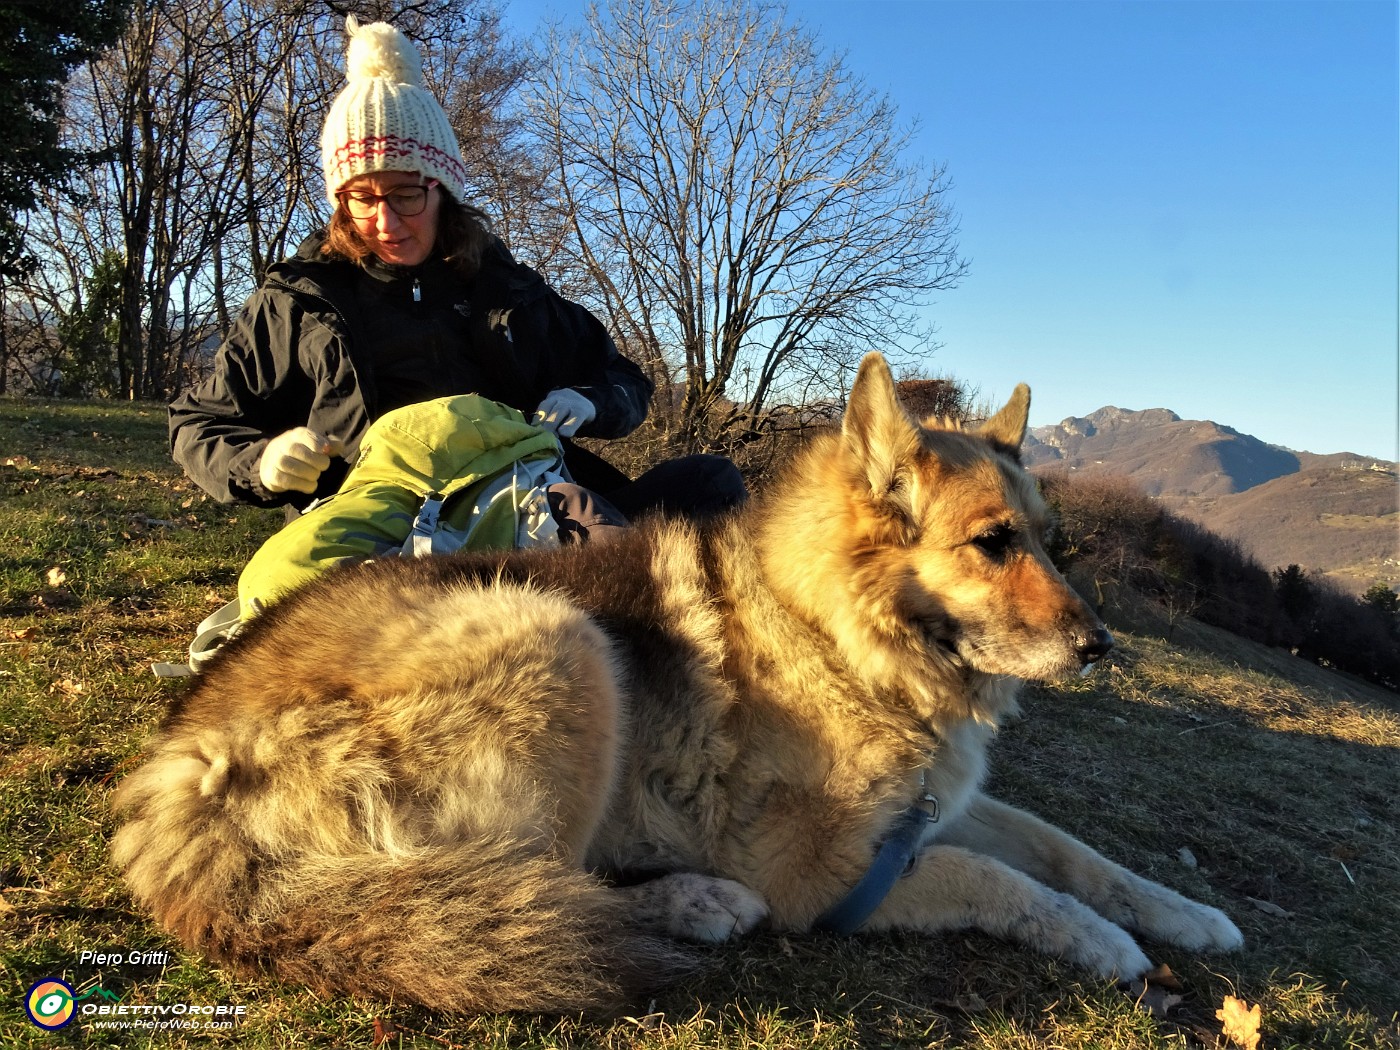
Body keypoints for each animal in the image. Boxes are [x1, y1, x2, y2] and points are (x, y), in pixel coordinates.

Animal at [112, 358, 1248, 1013]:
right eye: (992, 543)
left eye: (1051, 544)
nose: (1101, 647)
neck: (832, 631)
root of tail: (182, 763)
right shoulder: (823, 876)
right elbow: (1001, 879)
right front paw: (1102, 942)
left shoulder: (934, 812)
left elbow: (1070, 851)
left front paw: (1183, 915)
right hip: (561, 642)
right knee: (534, 896)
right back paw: (691, 901)